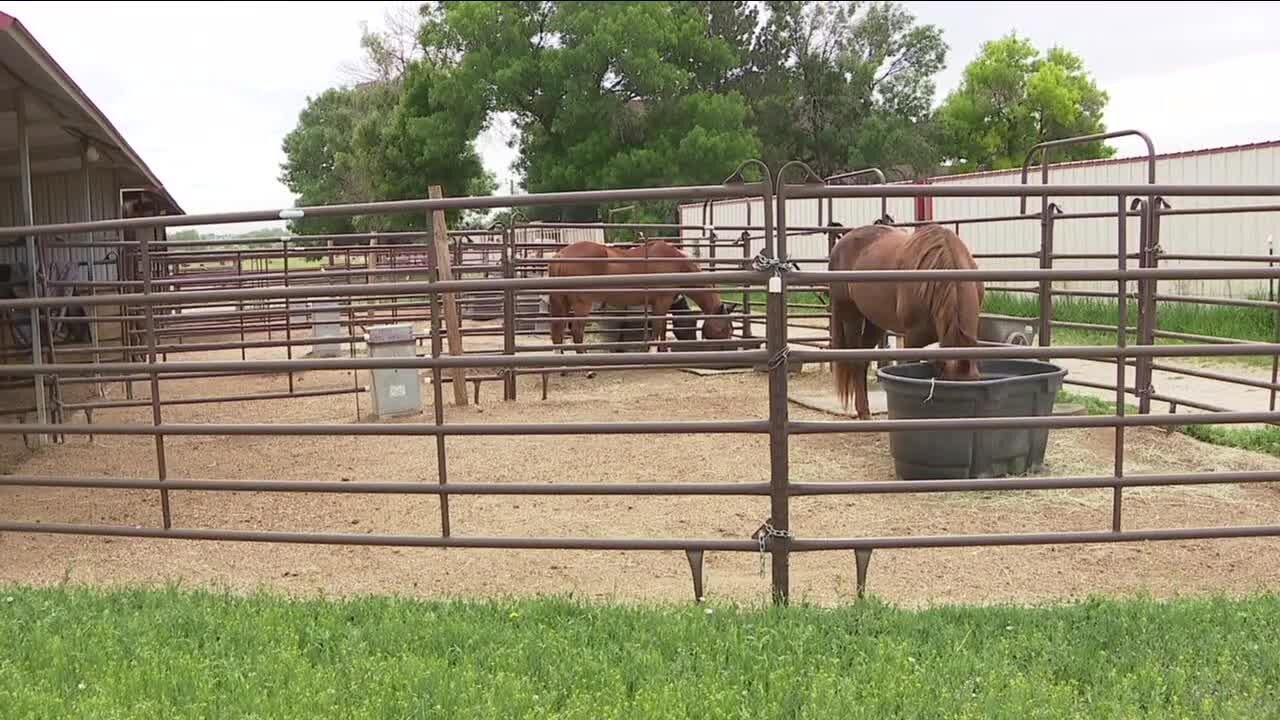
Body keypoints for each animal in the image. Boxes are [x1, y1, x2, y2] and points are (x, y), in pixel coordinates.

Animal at [545, 240, 737, 353]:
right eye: (724, 329)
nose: (728, 350)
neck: (675, 264)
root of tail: (561, 254)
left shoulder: (659, 303)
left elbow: (662, 329)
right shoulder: (661, 301)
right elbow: (658, 328)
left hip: (562, 302)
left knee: (558, 331)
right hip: (582, 303)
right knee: (577, 331)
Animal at [824, 221, 983, 417]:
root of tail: (839, 244)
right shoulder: (912, 339)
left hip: (875, 323)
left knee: (863, 361)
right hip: (851, 316)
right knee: (855, 360)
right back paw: (863, 413)